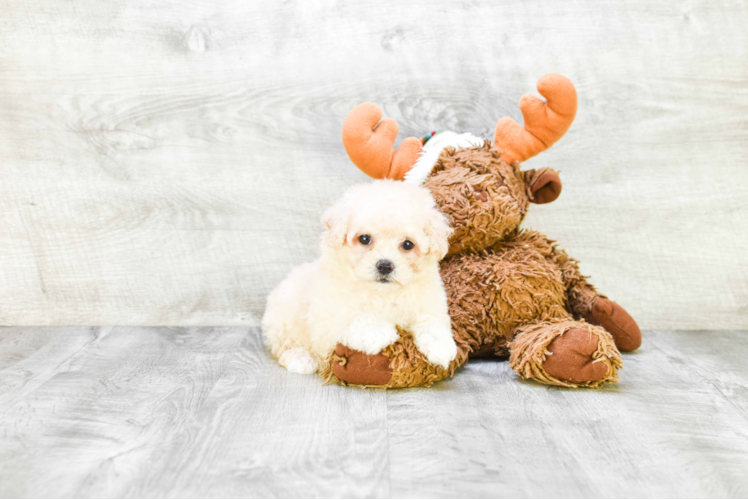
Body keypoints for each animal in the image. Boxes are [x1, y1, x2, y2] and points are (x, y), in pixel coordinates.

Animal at [262, 181, 462, 376]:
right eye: (365, 239)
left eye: (407, 244)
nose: (385, 265)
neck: (383, 293)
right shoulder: (326, 320)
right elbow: (353, 318)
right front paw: (377, 332)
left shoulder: (428, 303)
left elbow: (431, 321)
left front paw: (441, 346)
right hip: (283, 322)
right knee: (284, 347)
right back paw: (302, 359)